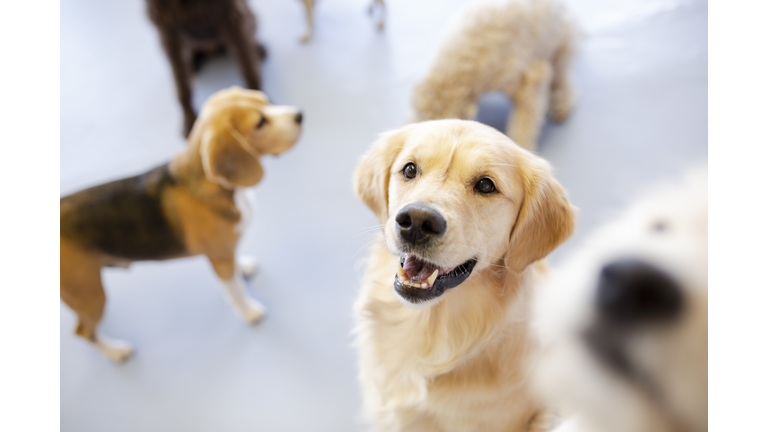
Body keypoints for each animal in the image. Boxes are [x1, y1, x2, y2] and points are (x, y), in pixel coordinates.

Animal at [146, 0, 268, 136]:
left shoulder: (232, 17)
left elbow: (248, 66)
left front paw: (257, 104)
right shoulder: (168, 31)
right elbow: (181, 83)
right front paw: (189, 118)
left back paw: (257, 49)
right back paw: (194, 62)